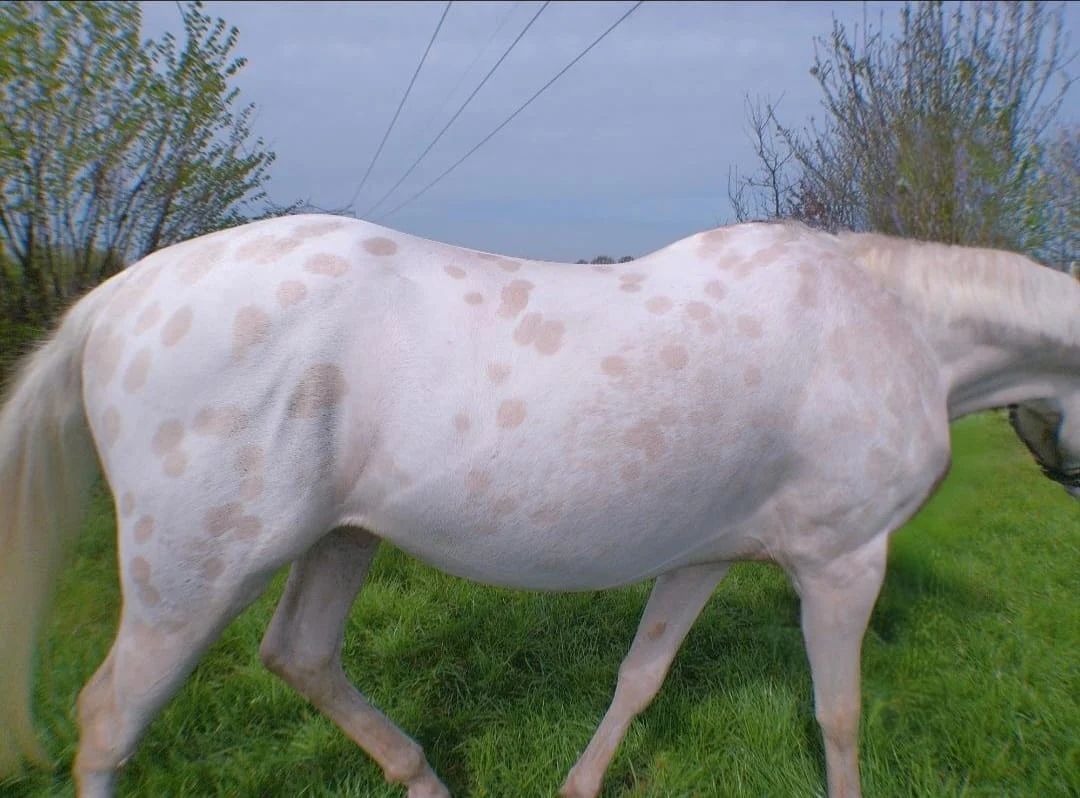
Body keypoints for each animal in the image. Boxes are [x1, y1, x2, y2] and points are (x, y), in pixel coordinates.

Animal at [0, 216, 1076, 798]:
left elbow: (640, 679)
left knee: (300, 656)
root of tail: (114, 300)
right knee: (109, 721)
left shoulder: (706, 553)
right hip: (192, 579)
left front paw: (578, 781)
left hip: (339, 540)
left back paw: (422, 775)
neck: (896, 327)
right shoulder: (844, 560)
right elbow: (840, 715)